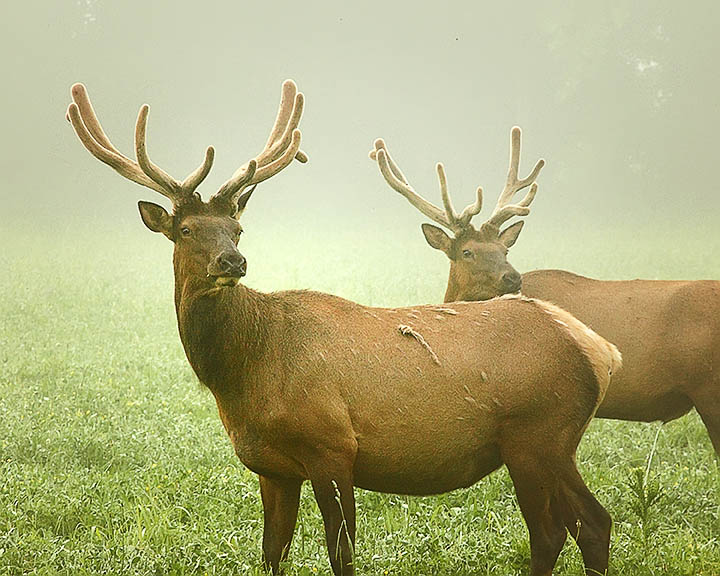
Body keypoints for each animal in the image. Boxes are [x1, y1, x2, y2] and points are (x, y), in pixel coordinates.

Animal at [69, 82, 624, 576]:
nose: (233, 261)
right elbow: (272, 553)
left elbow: (342, 555)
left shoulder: (332, 447)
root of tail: (601, 351)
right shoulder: (272, 467)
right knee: (581, 526)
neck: (244, 375)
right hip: (549, 442)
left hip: (537, 434)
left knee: (564, 529)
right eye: (186, 229)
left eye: (237, 228)